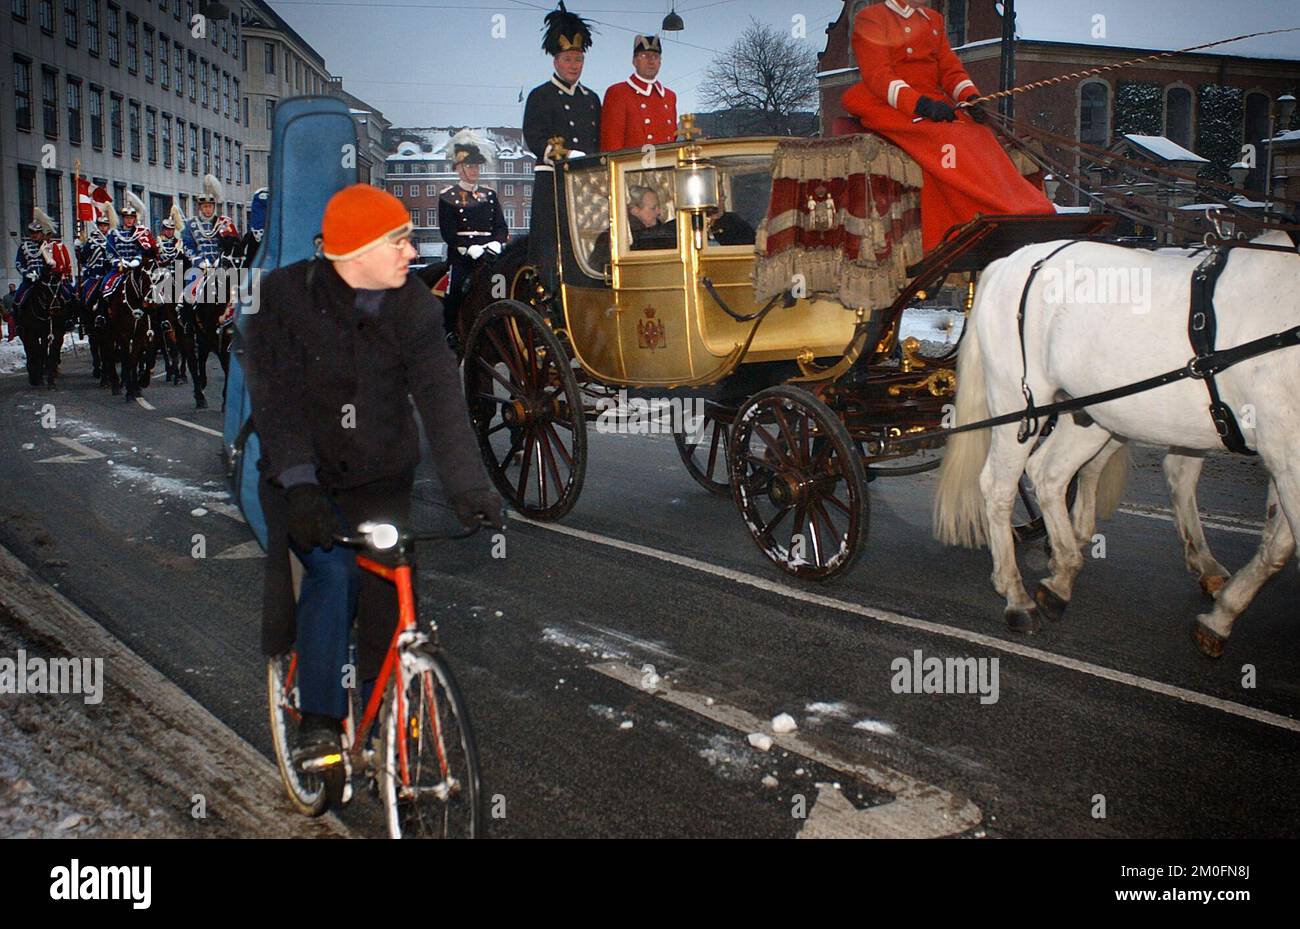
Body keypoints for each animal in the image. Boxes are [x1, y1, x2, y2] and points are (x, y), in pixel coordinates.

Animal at [935, 232, 1300, 654]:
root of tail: (1012, 260)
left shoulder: (1283, 458)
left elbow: (1276, 545)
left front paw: (1220, 617)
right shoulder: (1287, 456)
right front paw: (1221, 615)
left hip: (1093, 410)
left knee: (1049, 474)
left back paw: (1062, 574)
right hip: (1020, 403)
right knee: (999, 486)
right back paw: (1017, 596)